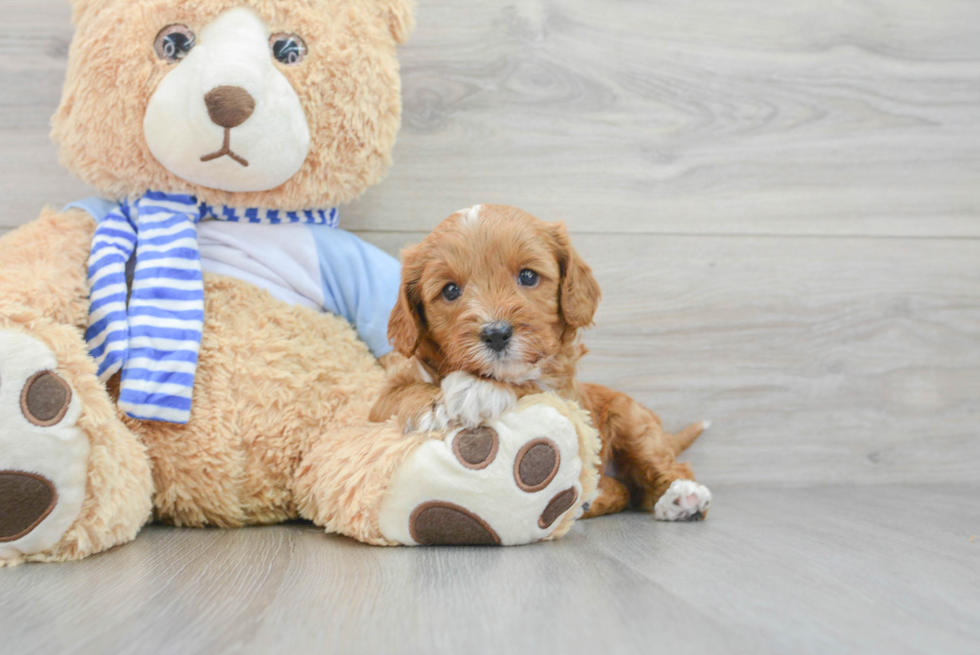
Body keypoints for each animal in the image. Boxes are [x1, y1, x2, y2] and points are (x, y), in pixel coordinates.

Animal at [370, 205, 712, 524]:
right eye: (450, 290)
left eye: (528, 276)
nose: (496, 334)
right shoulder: (380, 401)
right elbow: (396, 395)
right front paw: (436, 402)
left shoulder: (562, 391)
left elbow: (530, 385)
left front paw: (477, 389)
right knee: (626, 491)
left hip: (631, 419)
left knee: (662, 468)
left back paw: (682, 497)